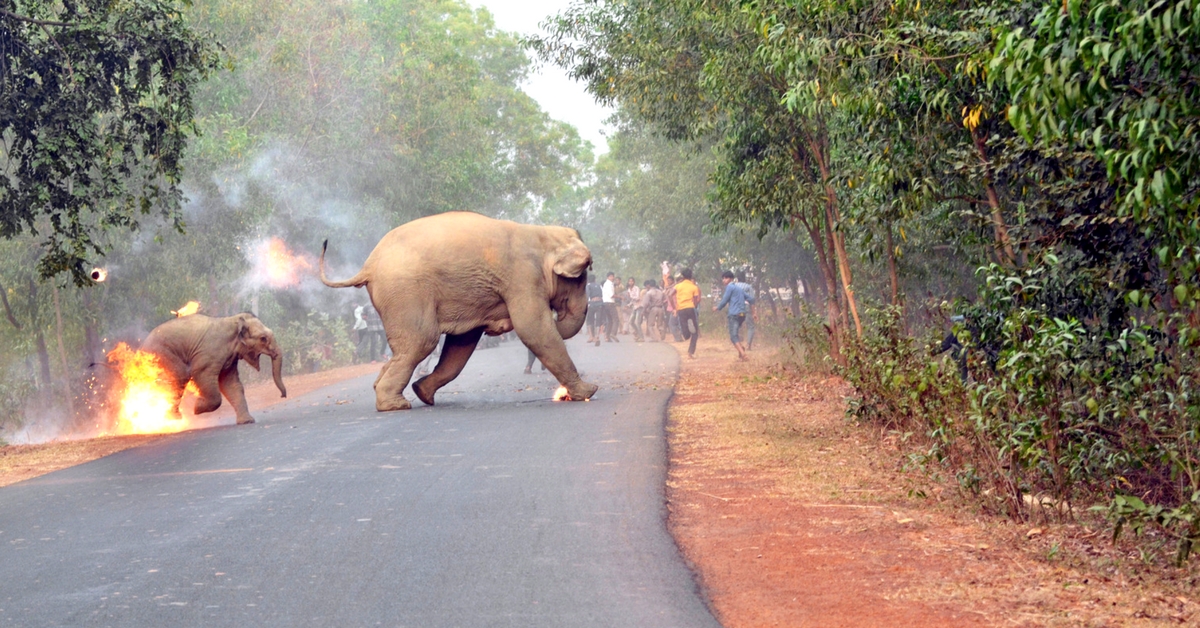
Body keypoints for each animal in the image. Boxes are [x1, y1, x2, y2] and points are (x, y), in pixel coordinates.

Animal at [140, 314, 285, 427]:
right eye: (263, 338)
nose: (282, 396)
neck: (234, 320)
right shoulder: (209, 354)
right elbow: (201, 374)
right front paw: (197, 407)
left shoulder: (230, 359)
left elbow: (231, 384)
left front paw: (247, 422)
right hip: (162, 354)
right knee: (180, 375)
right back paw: (173, 418)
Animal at [319, 211, 600, 413]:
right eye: (581, 278)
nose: (560, 316)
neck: (542, 233)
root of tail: (368, 265)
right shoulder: (523, 277)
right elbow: (534, 329)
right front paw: (589, 392)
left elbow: (462, 344)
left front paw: (423, 391)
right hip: (405, 291)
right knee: (423, 340)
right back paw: (395, 406)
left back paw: (400, 394)